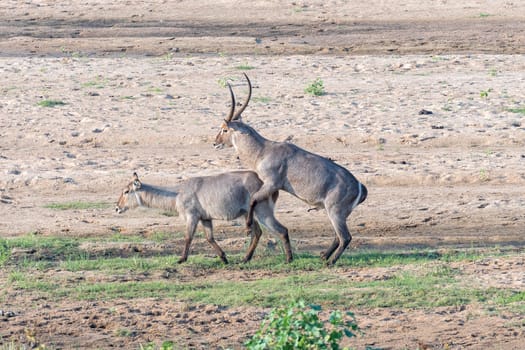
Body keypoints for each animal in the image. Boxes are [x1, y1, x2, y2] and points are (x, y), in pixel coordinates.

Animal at [114, 171, 292, 264]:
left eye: (126, 191)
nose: (116, 208)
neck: (176, 193)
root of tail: (262, 181)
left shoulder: (192, 216)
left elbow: (188, 237)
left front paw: (181, 259)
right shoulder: (206, 218)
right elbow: (209, 238)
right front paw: (224, 258)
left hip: (263, 213)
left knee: (282, 230)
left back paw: (289, 259)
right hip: (248, 215)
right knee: (258, 233)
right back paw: (245, 258)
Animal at [215, 74, 366, 266]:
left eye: (224, 129)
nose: (215, 142)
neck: (263, 150)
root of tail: (360, 186)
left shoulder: (271, 184)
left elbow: (253, 199)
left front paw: (248, 227)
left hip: (335, 211)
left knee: (345, 237)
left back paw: (329, 262)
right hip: (335, 212)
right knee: (337, 236)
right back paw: (324, 256)